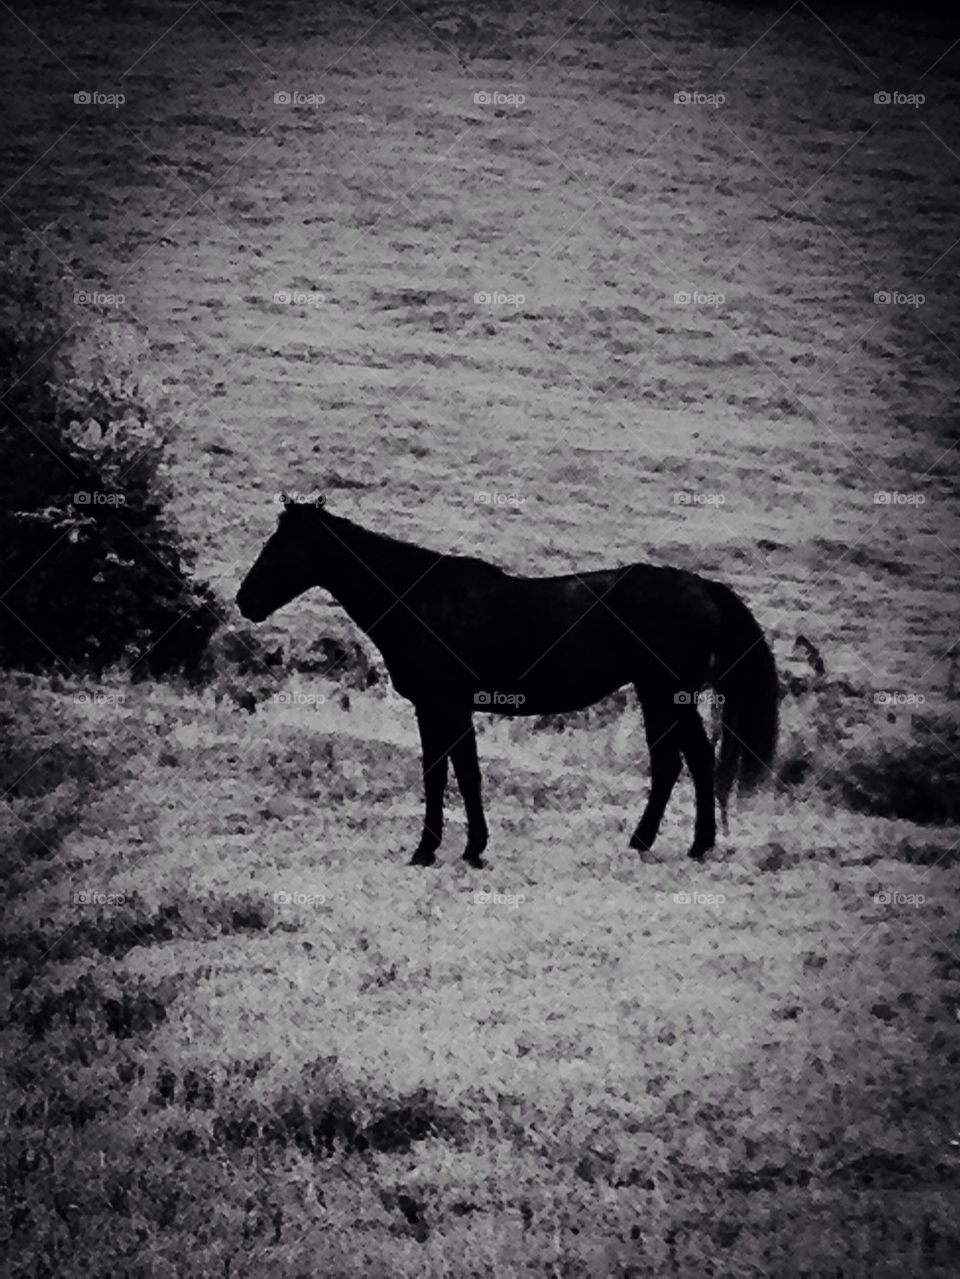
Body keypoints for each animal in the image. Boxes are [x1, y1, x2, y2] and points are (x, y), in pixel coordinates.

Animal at [236, 496, 777, 869]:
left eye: (283, 547)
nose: (245, 600)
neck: (419, 600)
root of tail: (703, 587)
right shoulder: (448, 710)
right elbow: (457, 773)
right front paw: (464, 847)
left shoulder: (441, 706)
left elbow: (448, 776)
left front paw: (436, 850)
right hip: (659, 694)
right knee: (680, 761)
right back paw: (661, 842)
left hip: (666, 694)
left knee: (688, 760)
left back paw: (689, 844)